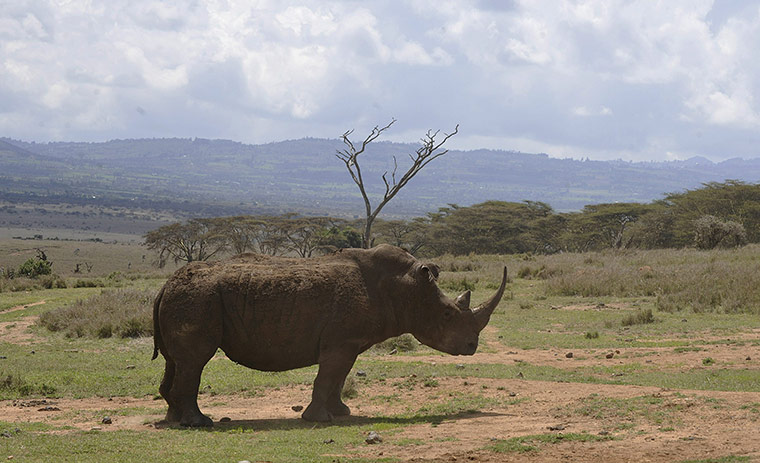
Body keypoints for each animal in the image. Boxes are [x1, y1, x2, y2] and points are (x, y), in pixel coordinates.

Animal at [152, 244, 507, 427]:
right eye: (447, 315)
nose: (472, 346)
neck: (404, 288)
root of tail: (165, 284)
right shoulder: (341, 342)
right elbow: (327, 377)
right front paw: (318, 419)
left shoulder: (350, 342)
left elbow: (339, 377)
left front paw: (341, 413)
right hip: (199, 298)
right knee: (195, 360)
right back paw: (199, 423)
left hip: (190, 298)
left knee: (176, 361)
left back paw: (173, 420)